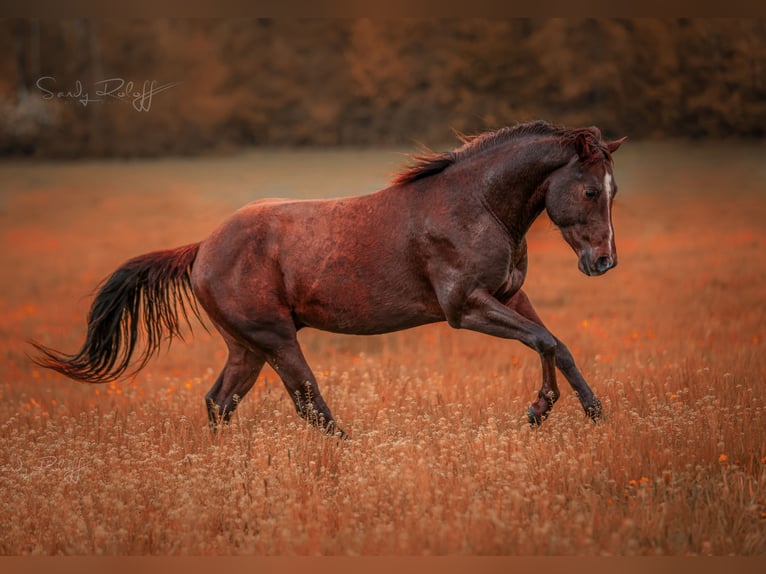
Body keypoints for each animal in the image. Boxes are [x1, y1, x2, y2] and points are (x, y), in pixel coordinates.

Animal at [31, 120, 627, 437]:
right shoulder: (466, 307)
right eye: (590, 190)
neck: (476, 205)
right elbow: (543, 340)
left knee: (220, 401)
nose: (604, 262)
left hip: (246, 347)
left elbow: (555, 343)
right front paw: (542, 409)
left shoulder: (509, 294)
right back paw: (351, 449)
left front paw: (584, 411)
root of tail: (201, 248)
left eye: (613, 190)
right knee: (309, 403)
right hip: (275, 339)